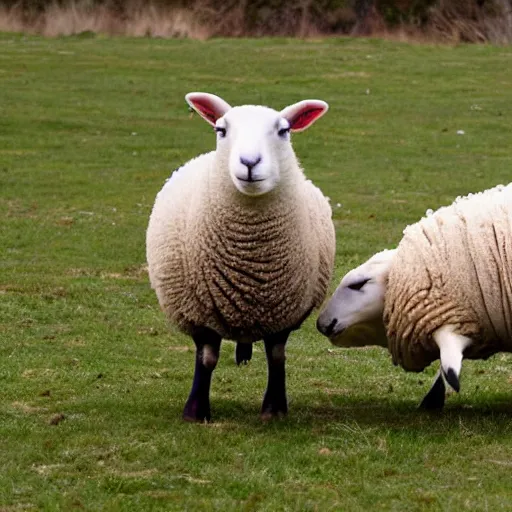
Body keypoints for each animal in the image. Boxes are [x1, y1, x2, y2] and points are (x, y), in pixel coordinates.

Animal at [146, 92, 336, 420]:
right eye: (221, 130)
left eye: (284, 131)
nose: (249, 162)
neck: (251, 259)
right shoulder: (198, 313)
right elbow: (207, 358)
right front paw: (195, 411)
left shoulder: (283, 312)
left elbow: (277, 356)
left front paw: (274, 409)